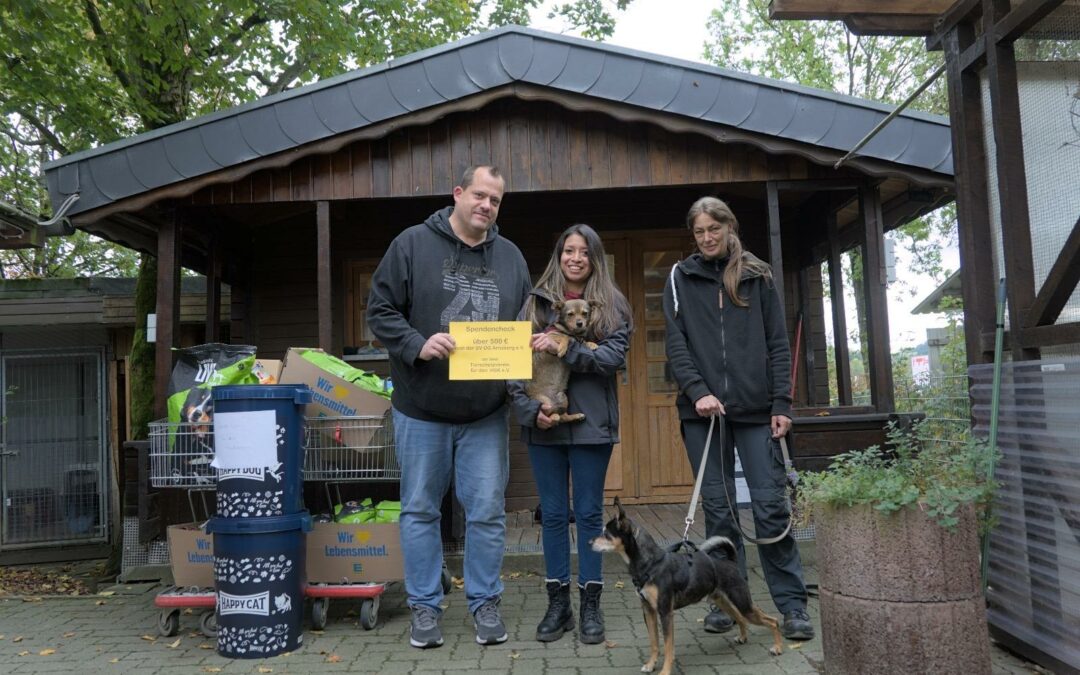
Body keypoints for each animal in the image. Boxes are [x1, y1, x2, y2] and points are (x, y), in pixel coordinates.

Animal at [591, 494, 786, 673]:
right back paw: (743, 637)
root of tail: (731, 562)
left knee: (772, 620)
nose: (589, 542)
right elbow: (654, 642)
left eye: (606, 535)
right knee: (742, 617)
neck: (651, 564)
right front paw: (651, 664)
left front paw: (665, 671)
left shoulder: (665, 613)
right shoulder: (648, 611)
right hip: (724, 600)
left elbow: (668, 647)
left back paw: (777, 647)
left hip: (741, 601)